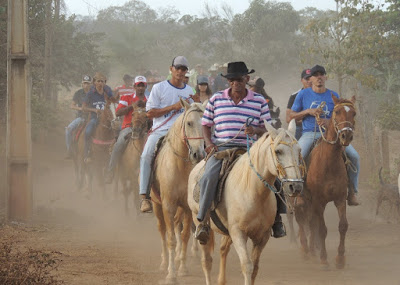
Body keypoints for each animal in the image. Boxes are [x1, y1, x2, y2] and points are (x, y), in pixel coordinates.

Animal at [188, 120, 304, 284]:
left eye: (299, 150)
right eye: (278, 151)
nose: (296, 186)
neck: (253, 192)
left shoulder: (262, 236)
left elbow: (254, 268)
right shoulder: (238, 233)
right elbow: (247, 266)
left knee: (223, 249)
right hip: (198, 222)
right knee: (207, 261)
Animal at [294, 94, 356, 268]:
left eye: (354, 113)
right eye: (337, 111)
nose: (346, 136)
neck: (328, 162)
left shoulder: (340, 199)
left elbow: (343, 226)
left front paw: (340, 259)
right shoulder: (318, 201)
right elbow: (322, 229)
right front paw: (323, 259)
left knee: (310, 223)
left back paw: (312, 249)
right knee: (301, 220)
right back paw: (305, 250)